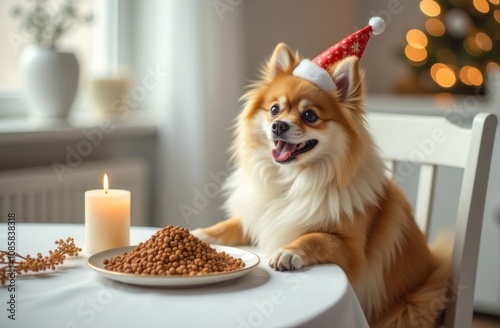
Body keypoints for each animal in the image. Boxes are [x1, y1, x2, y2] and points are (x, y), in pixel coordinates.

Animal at [191, 42, 450, 326]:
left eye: (309, 115)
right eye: (274, 110)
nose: (278, 125)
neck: (292, 181)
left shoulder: (351, 249)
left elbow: (314, 237)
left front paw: (288, 252)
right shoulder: (259, 219)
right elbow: (231, 224)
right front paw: (202, 234)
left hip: (416, 304)